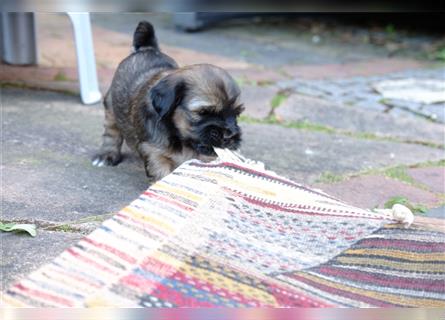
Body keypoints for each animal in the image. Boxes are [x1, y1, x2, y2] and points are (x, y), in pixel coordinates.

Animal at [91, 21, 243, 181]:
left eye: (237, 114)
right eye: (203, 112)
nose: (229, 136)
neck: (180, 139)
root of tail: (148, 47)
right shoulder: (153, 152)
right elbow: (162, 174)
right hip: (111, 105)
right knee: (111, 132)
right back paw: (106, 155)